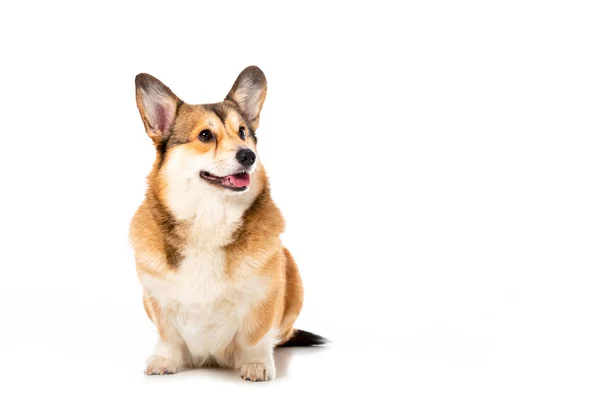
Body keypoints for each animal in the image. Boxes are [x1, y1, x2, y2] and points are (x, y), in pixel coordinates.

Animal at [129, 65, 326, 382]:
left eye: (243, 132)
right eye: (205, 135)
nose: (249, 155)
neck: (210, 216)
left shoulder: (264, 296)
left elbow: (255, 337)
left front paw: (256, 364)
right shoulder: (157, 299)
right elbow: (168, 336)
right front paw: (164, 360)